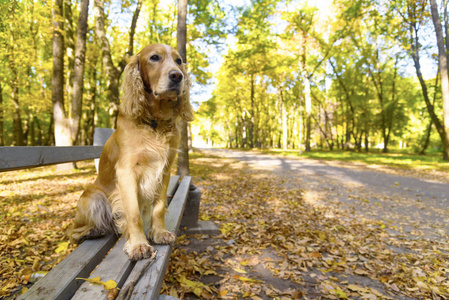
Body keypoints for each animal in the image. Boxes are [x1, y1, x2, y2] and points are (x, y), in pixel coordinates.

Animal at [71, 44, 193, 260]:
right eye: (154, 57)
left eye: (179, 61)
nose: (177, 76)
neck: (155, 122)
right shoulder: (126, 171)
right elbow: (134, 214)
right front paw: (138, 244)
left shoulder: (164, 171)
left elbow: (159, 207)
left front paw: (159, 233)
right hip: (93, 199)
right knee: (74, 232)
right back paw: (92, 231)